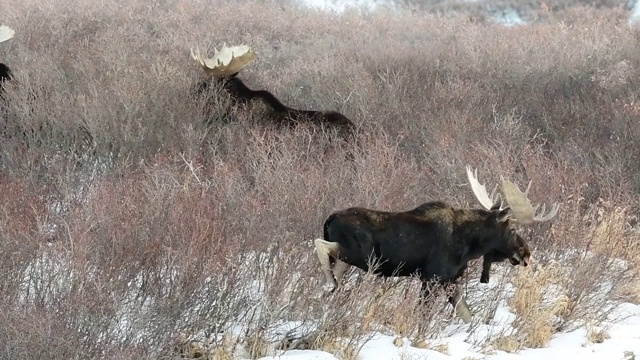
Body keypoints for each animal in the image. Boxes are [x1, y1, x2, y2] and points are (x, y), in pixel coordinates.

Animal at [316, 166, 560, 324]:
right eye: (512, 230)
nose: (526, 253)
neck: (470, 246)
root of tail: (329, 219)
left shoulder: (449, 279)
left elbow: (467, 315)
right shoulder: (432, 277)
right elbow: (423, 316)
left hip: (351, 260)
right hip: (361, 254)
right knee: (321, 245)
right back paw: (327, 283)